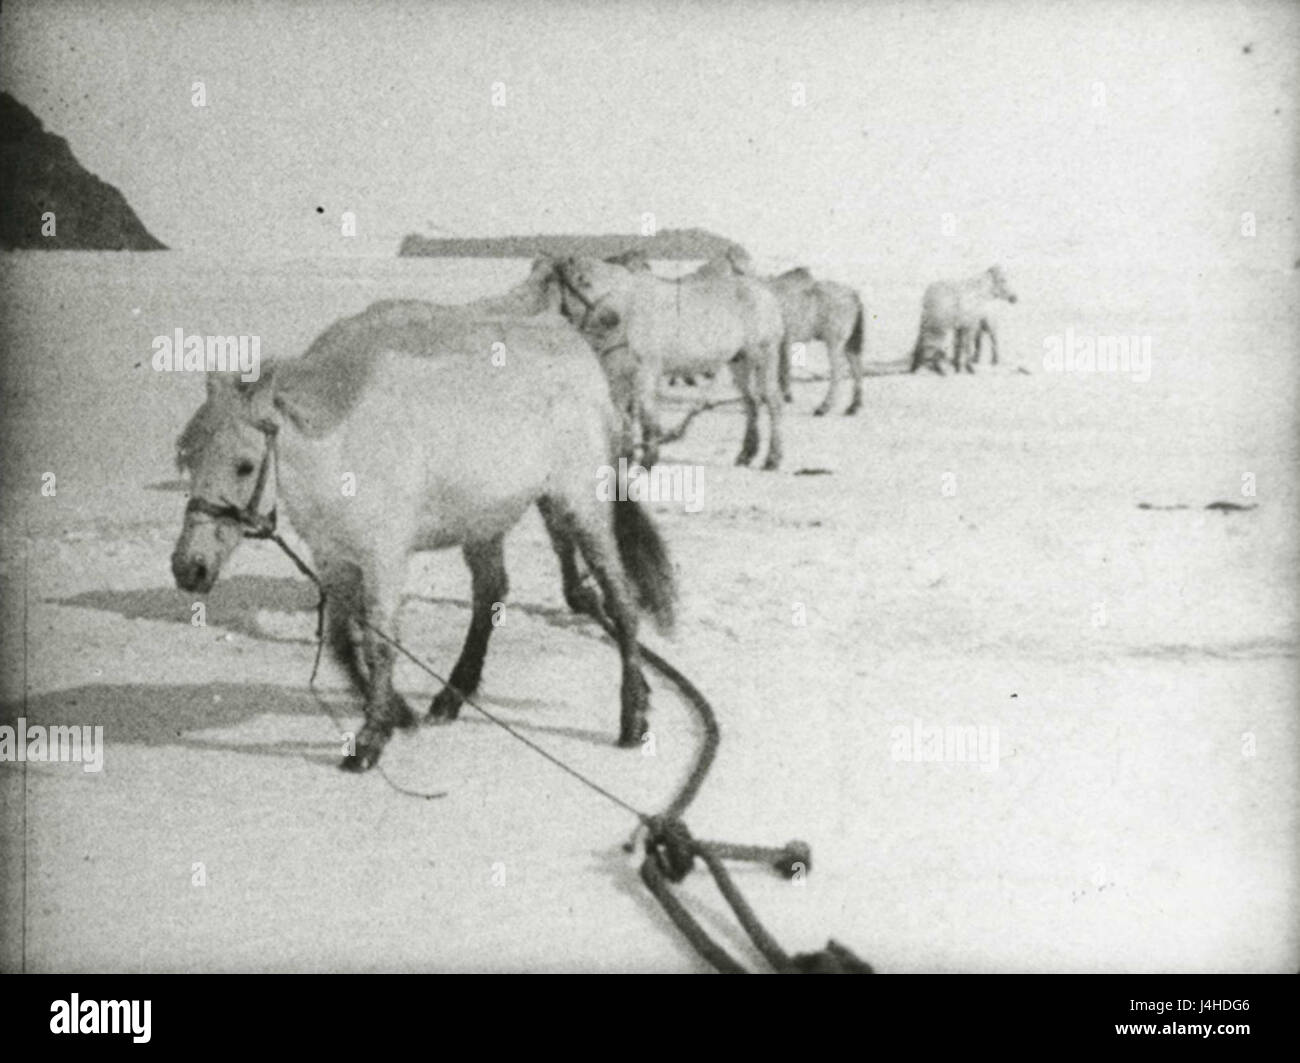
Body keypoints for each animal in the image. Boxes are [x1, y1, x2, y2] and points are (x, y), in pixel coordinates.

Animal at [171, 299, 676, 772]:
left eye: (244, 465)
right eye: (188, 458)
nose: (187, 568)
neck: (342, 446)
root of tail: (577, 349)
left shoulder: (384, 559)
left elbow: (379, 642)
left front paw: (371, 738)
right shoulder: (333, 559)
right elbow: (341, 641)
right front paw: (397, 714)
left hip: (580, 509)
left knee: (619, 600)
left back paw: (633, 716)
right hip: (487, 524)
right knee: (491, 595)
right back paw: (452, 696)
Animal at [551, 255, 786, 470]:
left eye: (585, 282)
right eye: (579, 283)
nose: (610, 318)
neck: (627, 306)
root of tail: (767, 294)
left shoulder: (646, 370)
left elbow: (646, 411)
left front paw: (648, 458)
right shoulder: (617, 374)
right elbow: (623, 413)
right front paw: (625, 457)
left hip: (764, 355)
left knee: (772, 401)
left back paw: (772, 459)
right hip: (740, 361)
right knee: (752, 402)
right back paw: (746, 455)